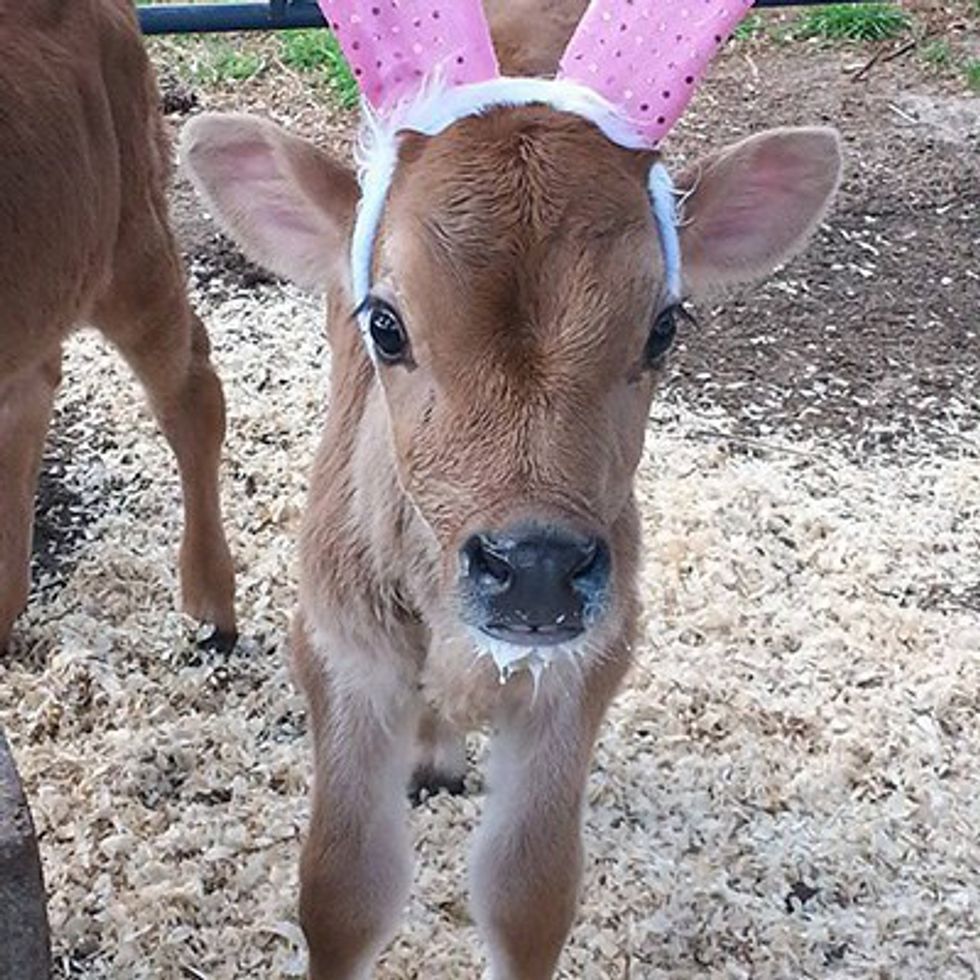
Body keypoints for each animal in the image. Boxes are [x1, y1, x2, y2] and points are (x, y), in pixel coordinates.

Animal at [184, 9, 844, 980]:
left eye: (664, 325)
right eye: (386, 324)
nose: (535, 567)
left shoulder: (588, 664)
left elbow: (530, 895)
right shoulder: (338, 643)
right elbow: (342, 892)